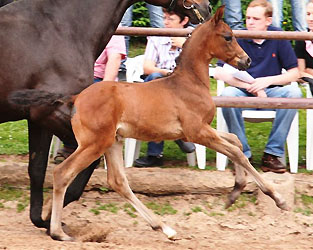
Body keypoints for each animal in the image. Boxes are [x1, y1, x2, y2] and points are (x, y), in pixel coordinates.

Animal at [50, 5, 286, 240]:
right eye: (228, 36)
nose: (247, 61)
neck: (188, 82)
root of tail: (76, 99)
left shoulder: (199, 130)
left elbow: (235, 141)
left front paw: (235, 191)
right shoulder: (197, 132)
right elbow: (236, 152)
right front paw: (277, 197)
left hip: (112, 142)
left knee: (118, 181)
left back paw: (164, 228)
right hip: (95, 144)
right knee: (62, 173)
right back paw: (58, 232)